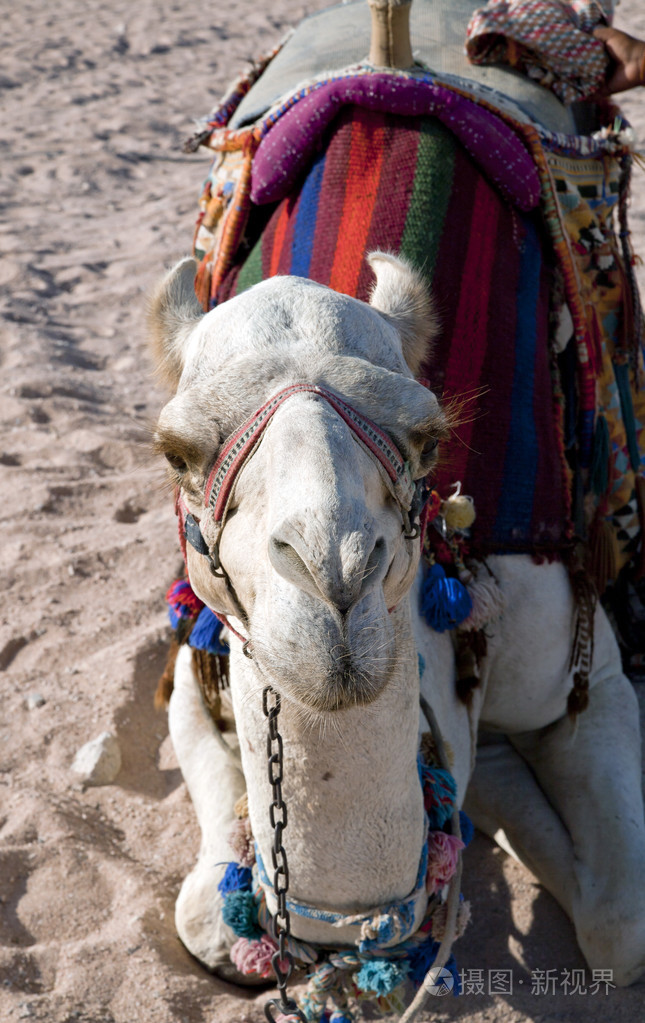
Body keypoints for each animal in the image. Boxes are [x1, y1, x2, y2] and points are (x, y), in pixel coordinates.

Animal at [151, 247, 645, 998]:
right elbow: (204, 914)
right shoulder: (189, 676)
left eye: (428, 437)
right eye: (176, 452)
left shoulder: (586, 676)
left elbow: (621, 929)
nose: (335, 574)